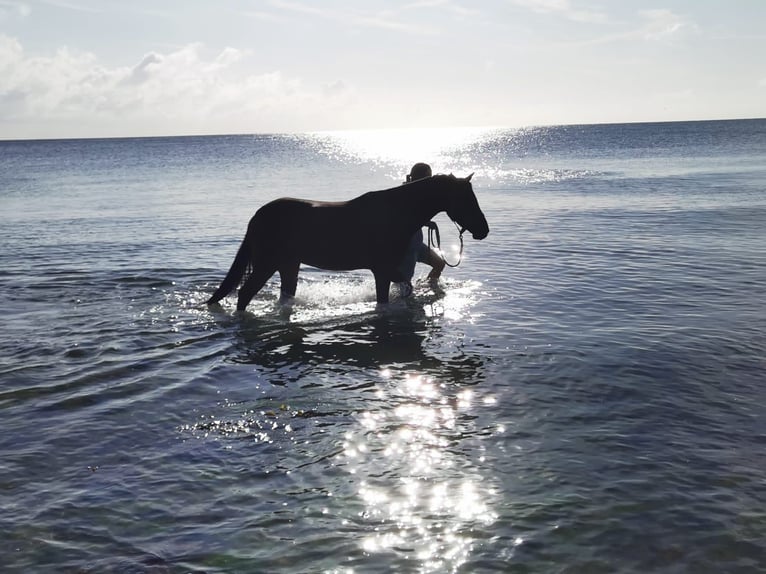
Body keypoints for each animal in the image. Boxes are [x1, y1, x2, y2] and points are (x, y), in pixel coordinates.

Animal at [207, 174, 488, 310]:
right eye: (466, 199)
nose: (484, 230)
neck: (395, 212)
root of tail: (258, 216)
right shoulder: (382, 271)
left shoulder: (391, 271)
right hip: (267, 264)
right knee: (244, 294)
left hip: (288, 265)